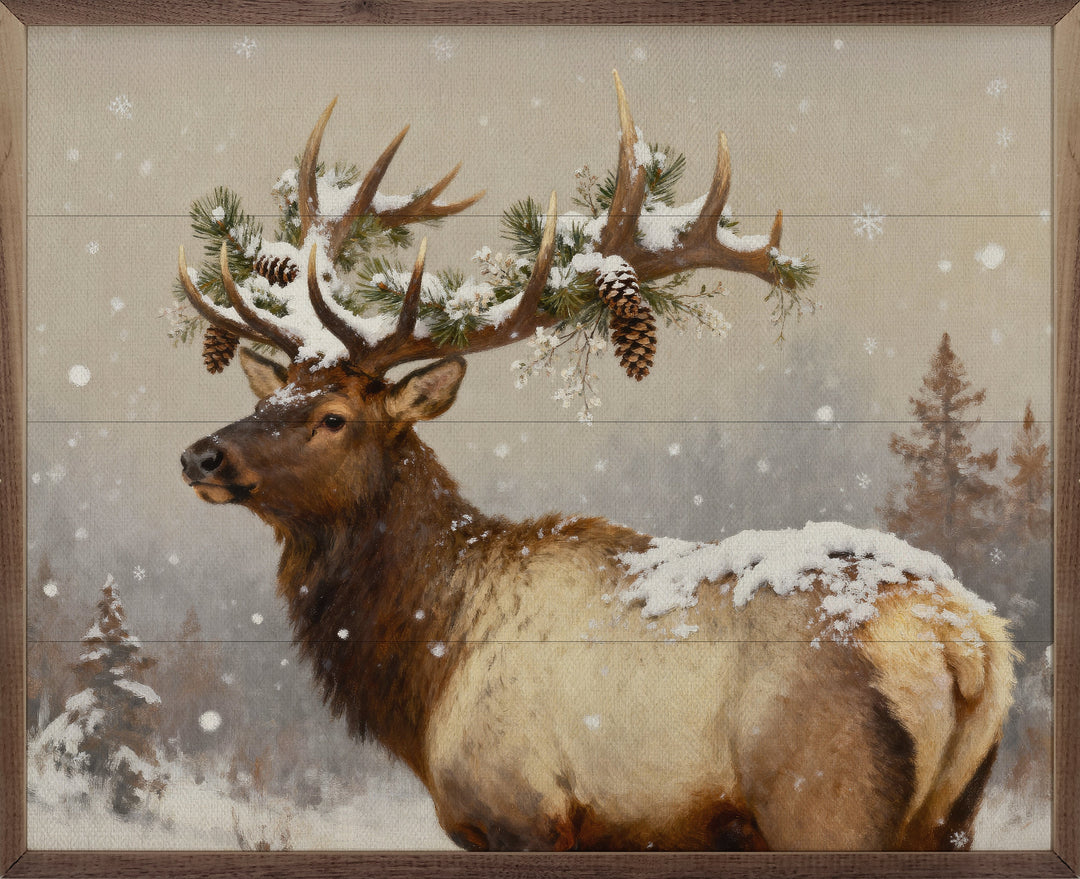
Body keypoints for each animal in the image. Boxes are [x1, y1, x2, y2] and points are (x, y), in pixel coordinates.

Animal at [177, 73, 1016, 852]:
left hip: (824, 797)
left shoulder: (519, 808)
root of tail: (970, 644)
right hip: (954, 814)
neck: (428, 666)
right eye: (275, 393)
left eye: (334, 418)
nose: (201, 454)